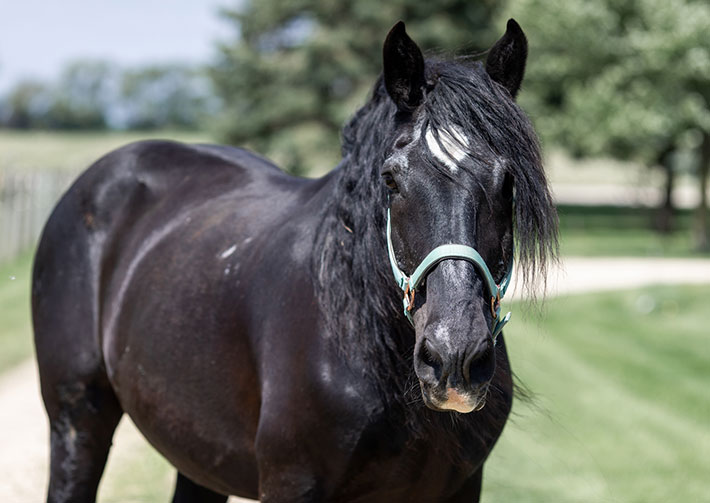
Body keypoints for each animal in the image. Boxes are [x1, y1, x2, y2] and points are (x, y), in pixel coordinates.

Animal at [32, 19, 557, 503]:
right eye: (391, 179)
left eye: (508, 182)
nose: (454, 356)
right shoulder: (292, 483)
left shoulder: (462, 487)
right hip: (77, 422)